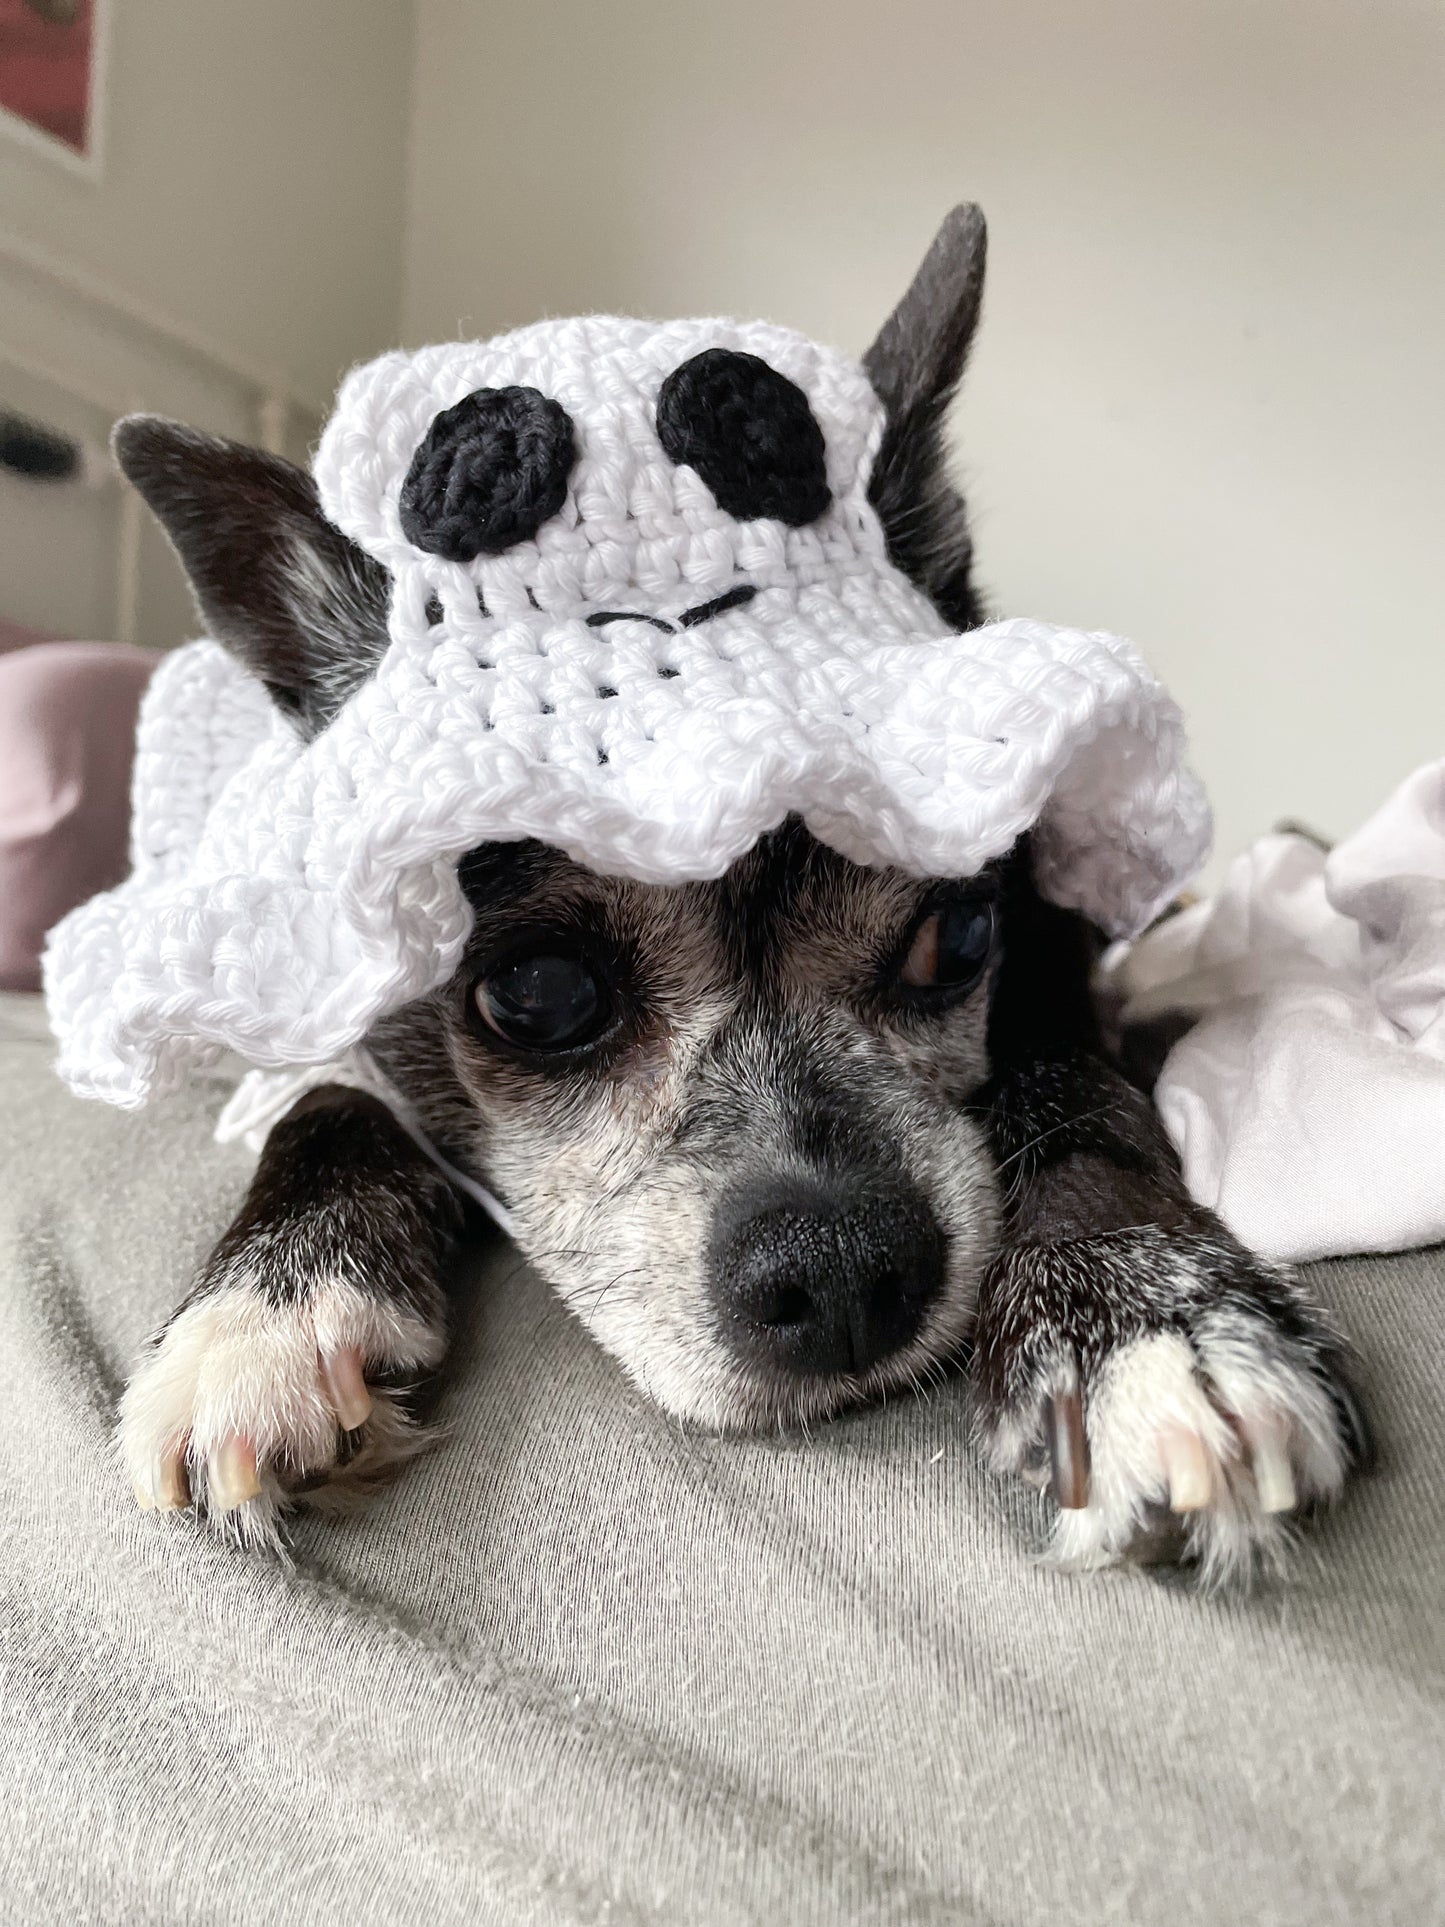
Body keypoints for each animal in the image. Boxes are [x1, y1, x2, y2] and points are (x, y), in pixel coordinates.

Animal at [110, 207, 1371, 1580]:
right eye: (537, 996)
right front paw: (265, 1311)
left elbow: (1073, 1086)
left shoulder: (1055, 961)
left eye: (957, 937)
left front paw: (1143, 1308)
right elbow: (325, 1100)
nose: (843, 1268)